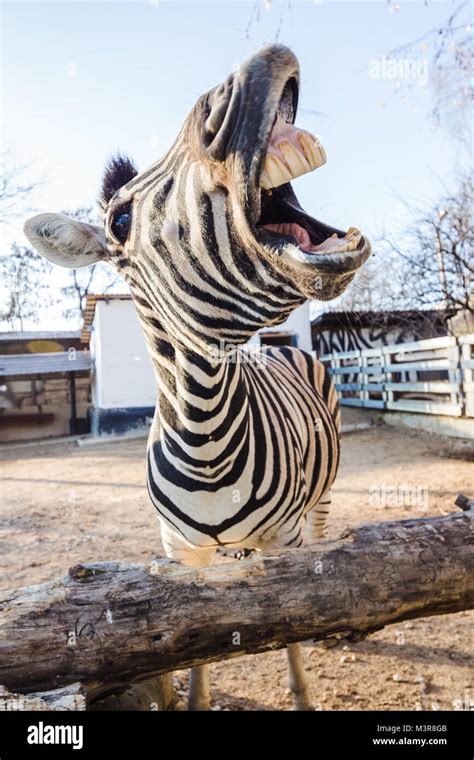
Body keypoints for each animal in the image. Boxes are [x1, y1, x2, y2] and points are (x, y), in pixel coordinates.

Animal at [24, 44, 370, 708]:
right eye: (120, 220)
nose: (255, 69)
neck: (208, 436)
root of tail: (277, 351)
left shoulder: (283, 542)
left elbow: (294, 621)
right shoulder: (183, 554)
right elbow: (200, 640)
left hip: (320, 499)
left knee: (324, 544)